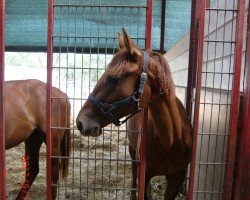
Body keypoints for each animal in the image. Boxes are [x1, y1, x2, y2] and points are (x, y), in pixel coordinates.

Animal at [76, 28, 193, 200]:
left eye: (114, 78)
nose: (80, 122)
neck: (170, 140)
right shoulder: (144, 173)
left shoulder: (177, 178)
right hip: (133, 155)